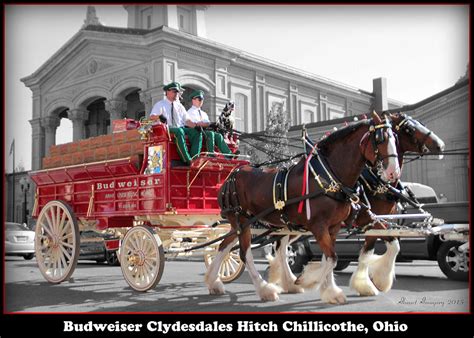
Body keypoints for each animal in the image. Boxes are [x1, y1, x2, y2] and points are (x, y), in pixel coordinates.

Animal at [205, 111, 400, 304]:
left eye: (395, 138)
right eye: (380, 139)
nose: (393, 172)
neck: (328, 177)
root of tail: (231, 176)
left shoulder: (335, 227)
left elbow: (329, 258)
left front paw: (330, 290)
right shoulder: (319, 226)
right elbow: (332, 259)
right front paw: (308, 280)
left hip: (239, 224)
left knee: (224, 246)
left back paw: (214, 281)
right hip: (243, 221)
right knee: (245, 254)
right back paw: (265, 289)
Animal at [350, 111, 446, 296]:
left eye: (420, 122)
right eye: (409, 128)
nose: (441, 145)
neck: (376, 182)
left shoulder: (377, 223)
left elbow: (373, 251)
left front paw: (373, 282)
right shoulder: (373, 221)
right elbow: (391, 247)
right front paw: (373, 281)